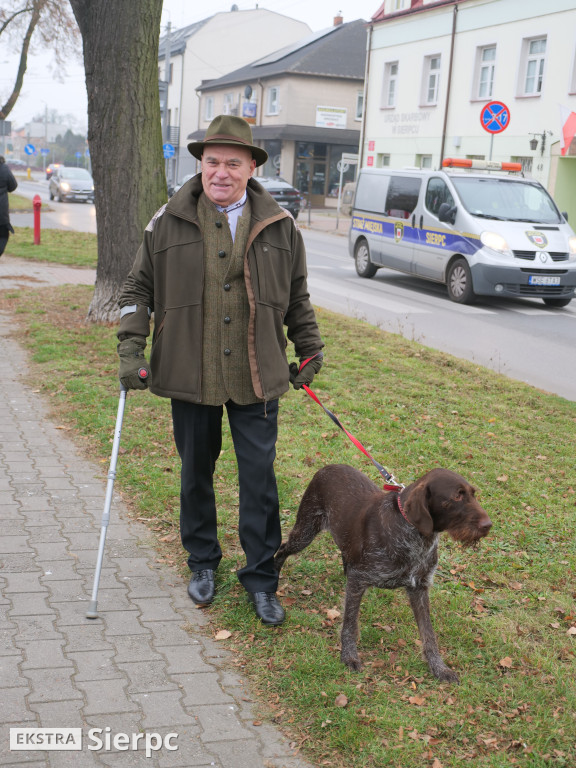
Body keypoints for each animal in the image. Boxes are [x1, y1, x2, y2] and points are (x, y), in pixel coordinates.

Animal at [276, 464, 492, 680]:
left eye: (473, 494)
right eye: (457, 496)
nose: (488, 525)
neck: (415, 536)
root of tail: (328, 467)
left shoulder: (419, 588)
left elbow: (429, 634)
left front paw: (439, 667)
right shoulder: (358, 580)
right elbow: (349, 623)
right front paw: (349, 656)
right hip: (305, 531)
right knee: (282, 549)